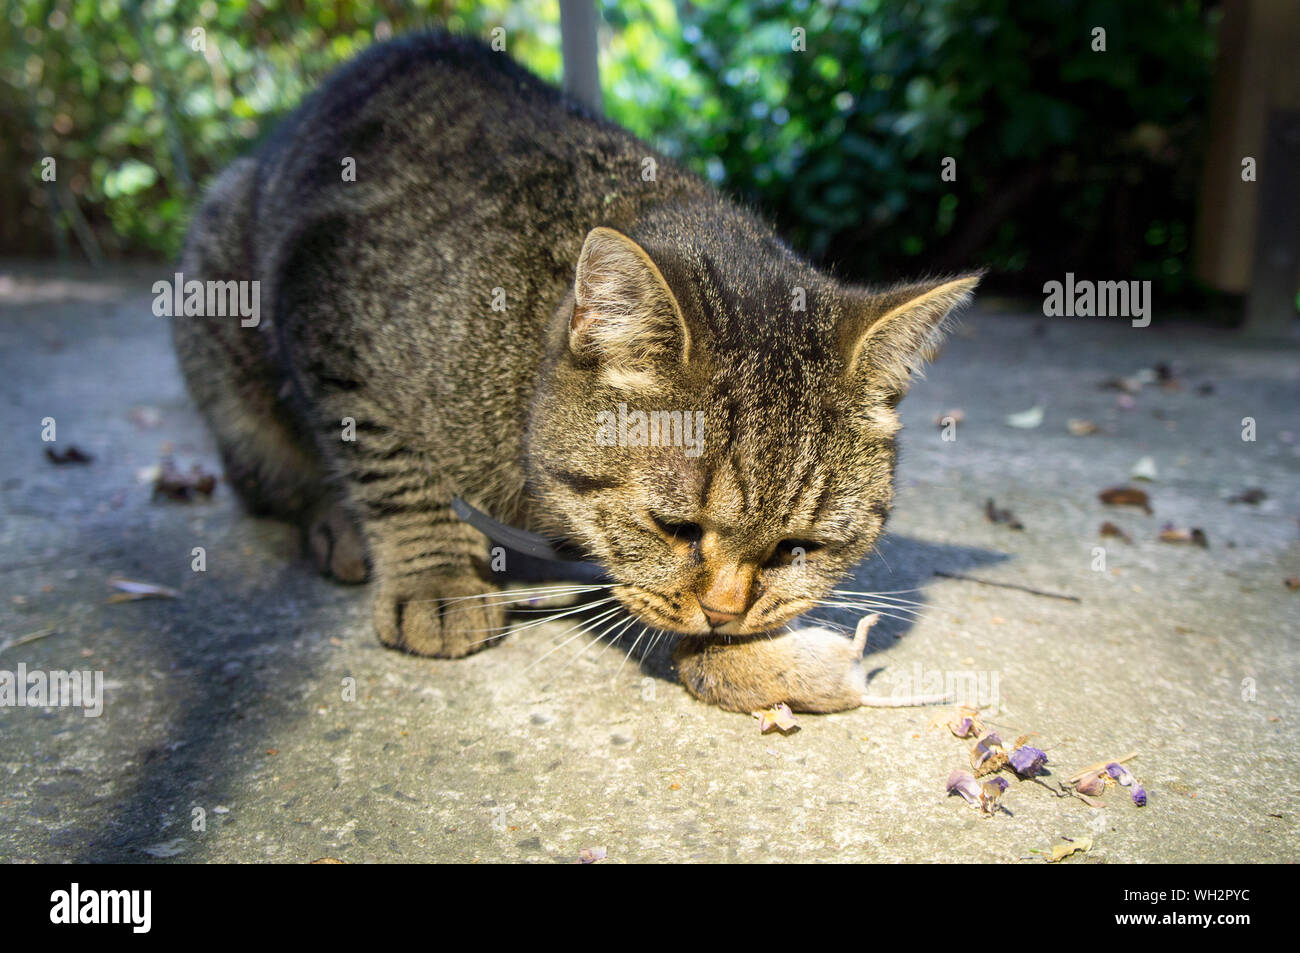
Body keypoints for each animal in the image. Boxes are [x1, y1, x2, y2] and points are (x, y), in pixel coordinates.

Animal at [175, 31, 982, 691]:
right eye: (674, 527)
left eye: (796, 548)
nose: (725, 614)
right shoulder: (327, 303)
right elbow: (395, 468)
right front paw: (436, 574)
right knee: (268, 473)